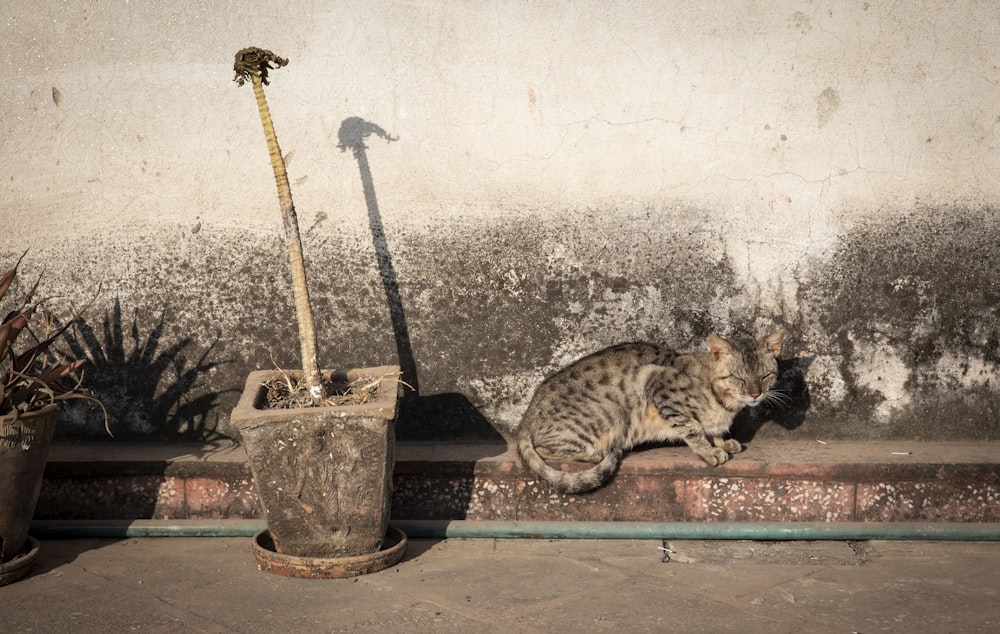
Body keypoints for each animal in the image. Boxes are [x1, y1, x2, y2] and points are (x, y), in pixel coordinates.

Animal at [520, 328, 784, 492]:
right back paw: (598, 454)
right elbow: (693, 427)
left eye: (765, 376)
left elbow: (712, 430)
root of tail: (525, 418)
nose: (755, 394)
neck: (725, 403)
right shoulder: (657, 385)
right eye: (739, 377)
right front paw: (709, 451)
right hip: (611, 415)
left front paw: (722, 441)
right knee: (543, 448)